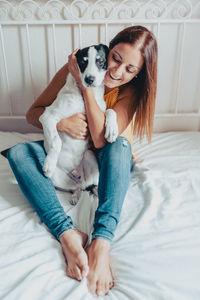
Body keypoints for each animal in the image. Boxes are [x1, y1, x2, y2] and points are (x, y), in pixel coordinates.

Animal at [39, 44, 119, 204]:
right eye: (83, 62)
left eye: (100, 61)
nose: (89, 79)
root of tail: (78, 176)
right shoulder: (47, 116)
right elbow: (56, 141)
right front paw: (49, 163)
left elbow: (110, 110)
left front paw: (112, 130)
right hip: (57, 178)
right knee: (77, 188)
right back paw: (75, 195)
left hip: (89, 156)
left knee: (90, 185)